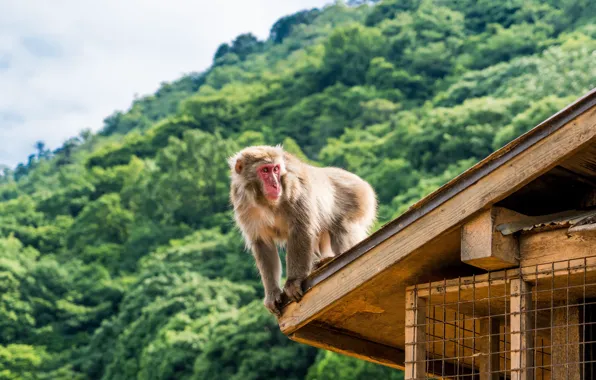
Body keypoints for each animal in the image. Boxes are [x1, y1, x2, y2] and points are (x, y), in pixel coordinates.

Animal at [228, 144, 378, 316]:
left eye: (276, 169)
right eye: (265, 170)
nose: (275, 185)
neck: (266, 202)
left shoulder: (295, 189)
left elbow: (301, 230)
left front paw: (293, 282)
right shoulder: (243, 204)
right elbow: (263, 244)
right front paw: (272, 293)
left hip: (359, 199)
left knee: (342, 227)